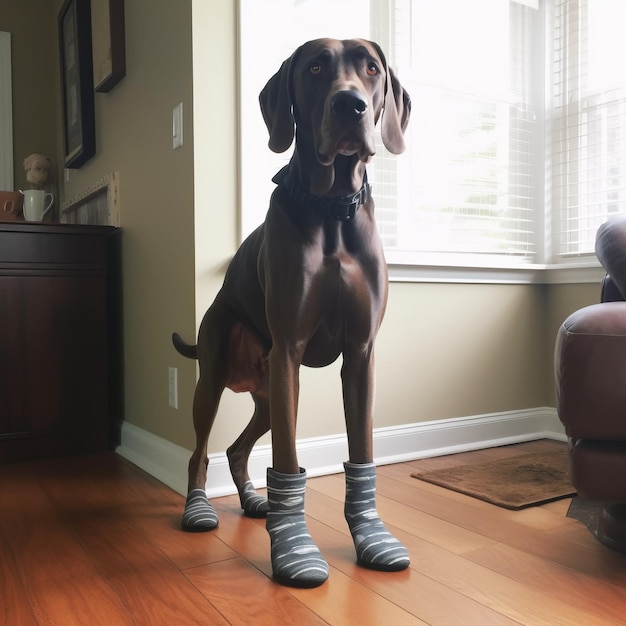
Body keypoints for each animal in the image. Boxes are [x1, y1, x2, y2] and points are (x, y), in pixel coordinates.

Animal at [174, 39, 410, 584]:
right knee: (200, 451)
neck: (333, 208)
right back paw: (199, 509)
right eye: (316, 67)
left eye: (371, 68)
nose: (351, 106)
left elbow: (361, 451)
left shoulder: (361, 353)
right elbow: (286, 460)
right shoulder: (289, 349)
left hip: (267, 394)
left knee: (238, 448)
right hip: (219, 377)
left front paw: (372, 538)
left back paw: (252, 501)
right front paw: (292, 548)